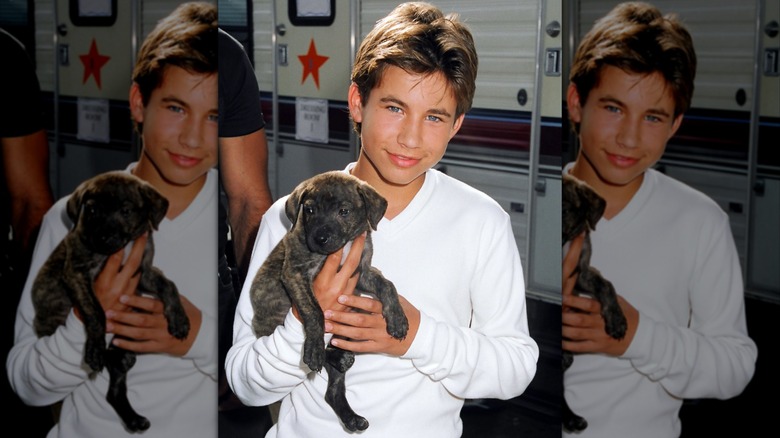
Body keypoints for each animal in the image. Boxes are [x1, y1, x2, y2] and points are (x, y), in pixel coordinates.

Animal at [31, 171, 190, 432]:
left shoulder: (142, 273)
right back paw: (103, 355)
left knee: (115, 389)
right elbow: (97, 311)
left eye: (126, 211)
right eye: (92, 210)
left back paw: (133, 416)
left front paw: (179, 319)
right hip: (53, 322)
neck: (122, 248)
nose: (101, 237)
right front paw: (95, 347)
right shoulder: (77, 273)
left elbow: (169, 285)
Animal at [250, 171, 408, 432]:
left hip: (349, 325)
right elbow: (315, 311)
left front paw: (397, 319)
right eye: (310, 210)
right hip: (272, 324)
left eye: (344, 211)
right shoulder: (295, 274)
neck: (342, 248)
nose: (319, 238)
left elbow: (387, 284)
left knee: (333, 389)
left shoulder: (361, 273)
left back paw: (351, 414)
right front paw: (314, 348)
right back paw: (326, 355)